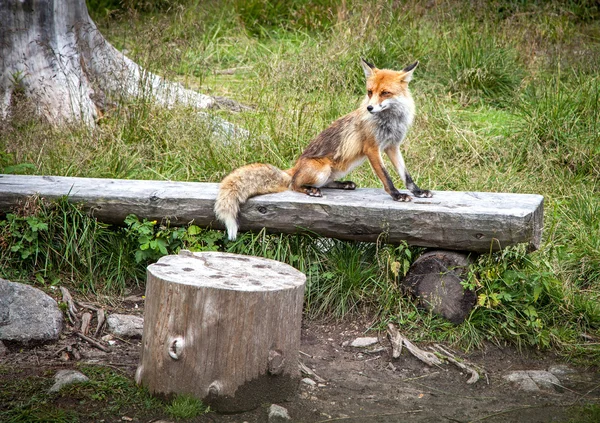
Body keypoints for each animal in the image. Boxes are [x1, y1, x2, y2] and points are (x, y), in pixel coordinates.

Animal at [214, 58, 432, 240]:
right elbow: (386, 177)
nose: (369, 108)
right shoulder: (372, 148)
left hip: (336, 170)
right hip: (322, 169)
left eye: (385, 93)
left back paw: (343, 185)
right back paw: (311, 191)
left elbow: (405, 175)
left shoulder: (392, 146)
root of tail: (294, 167)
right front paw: (397, 195)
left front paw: (418, 191)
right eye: (370, 92)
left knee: (324, 183)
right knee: (295, 184)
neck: (390, 121)